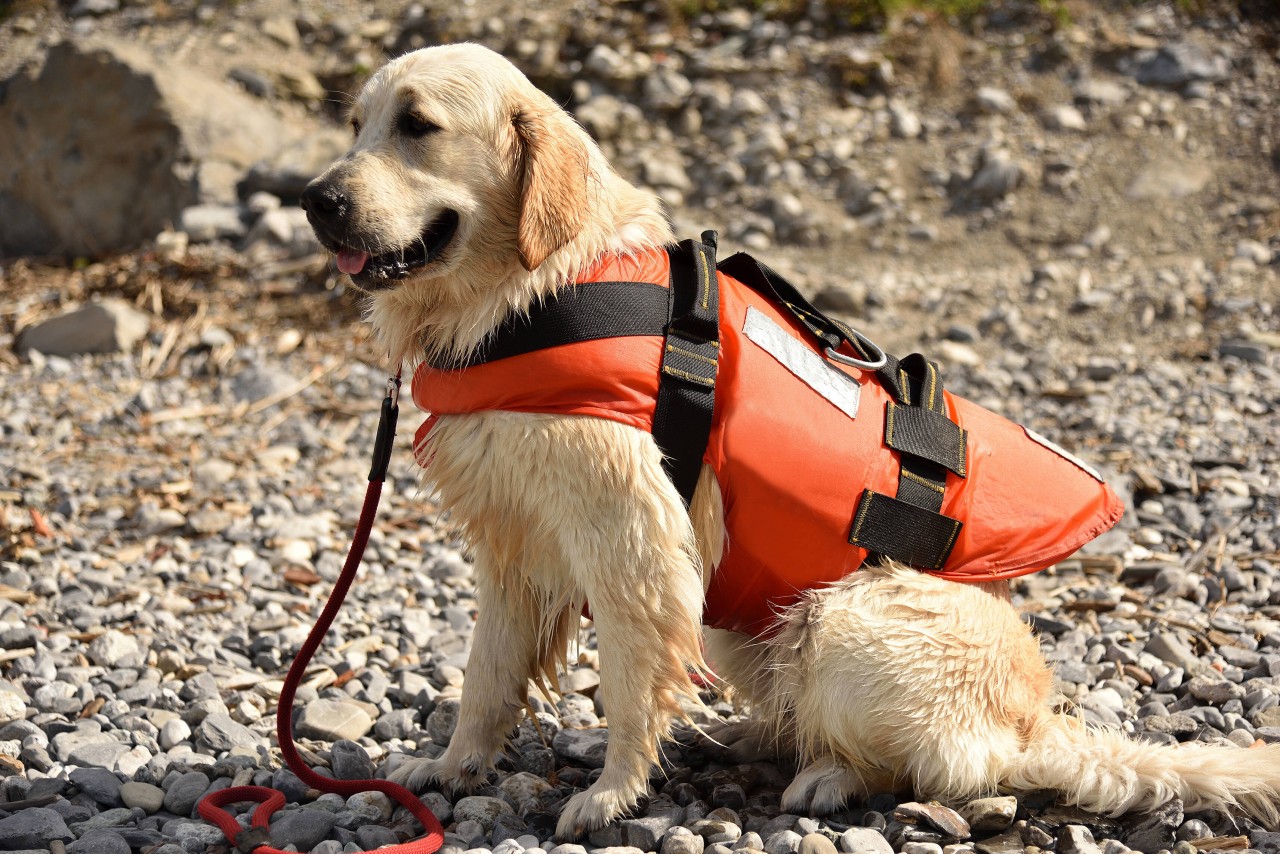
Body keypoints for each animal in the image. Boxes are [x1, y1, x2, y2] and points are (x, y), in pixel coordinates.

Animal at [304, 43, 1280, 839]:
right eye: (355, 125)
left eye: (418, 125)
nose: (316, 199)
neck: (531, 292)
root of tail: (1032, 718)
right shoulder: (512, 540)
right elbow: (485, 675)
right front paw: (450, 767)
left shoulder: (633, 542)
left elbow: (628, 680)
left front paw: (611, 794)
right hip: (749, 616)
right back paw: (746, 735)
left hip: (844, 620)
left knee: (947, 768)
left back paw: (829, 777)